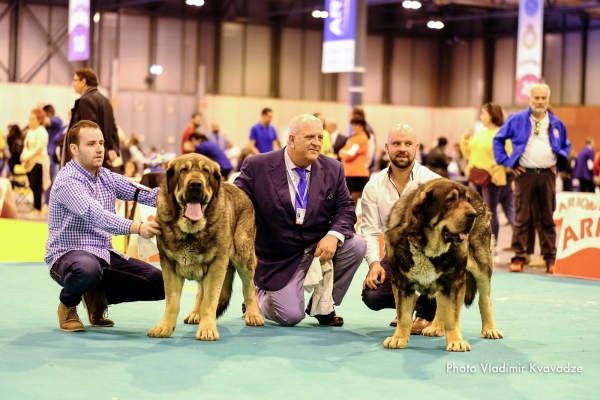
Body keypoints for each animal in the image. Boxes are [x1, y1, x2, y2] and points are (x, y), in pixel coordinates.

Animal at [147, 153, 262, 340]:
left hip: (243, 256)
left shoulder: (217, 265)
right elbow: (172, 301)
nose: (195, 184)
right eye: (183, 170)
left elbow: (210, 300)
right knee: (200, 291)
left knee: (249, 287)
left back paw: (253, 314)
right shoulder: (169, 266)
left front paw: (207, 329)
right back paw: (195, 313)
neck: (190, 230)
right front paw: (164, 327)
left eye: (205, 171)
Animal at [384, 180, 502, 352]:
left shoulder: (455, 282)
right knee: (440, 302)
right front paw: (398, 338)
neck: (426, 247)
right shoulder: (401, 283)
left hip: (482, 265)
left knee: (485, 299)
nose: (473, 214)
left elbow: (453, 316)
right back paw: (436, 327)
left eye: (467, 200)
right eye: (450, 200)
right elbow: (403, 315)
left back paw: (490, 329)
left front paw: (456, 341)